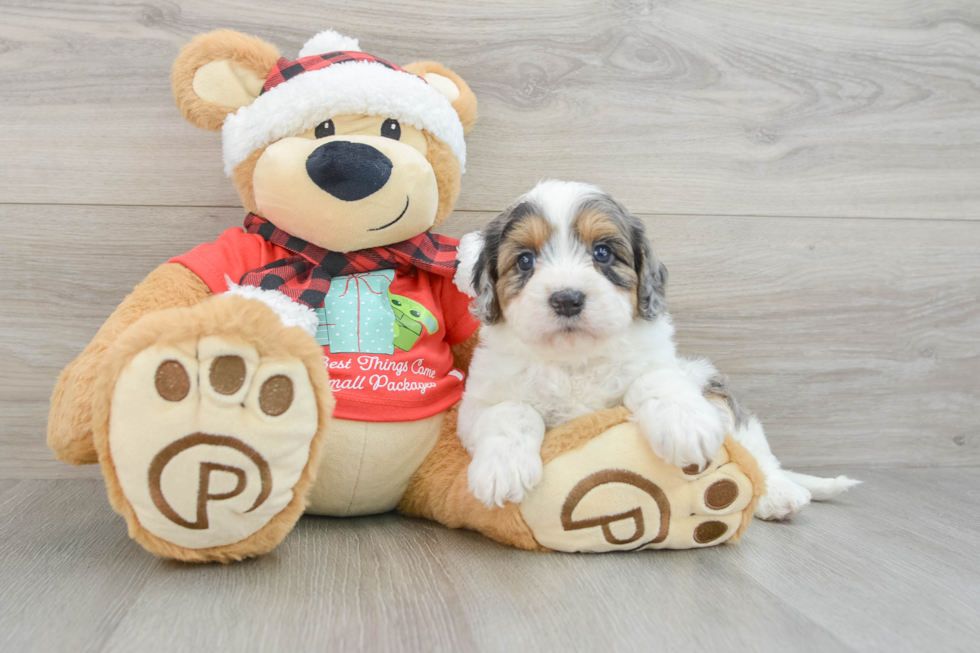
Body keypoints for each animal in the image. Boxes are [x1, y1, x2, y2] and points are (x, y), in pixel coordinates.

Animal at [454, 180, 856, 520]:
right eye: (525, 260)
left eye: (602, 253)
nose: (567, 299)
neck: (574, 360)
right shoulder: (478, 404)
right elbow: (513, 412)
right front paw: (502, 468)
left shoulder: (664, 365)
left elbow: (655, 381)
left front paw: (685, 426)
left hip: (710, 383)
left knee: (756, 454)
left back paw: (779, 493)